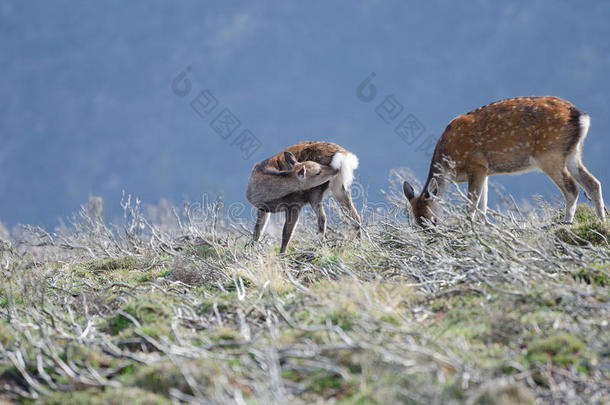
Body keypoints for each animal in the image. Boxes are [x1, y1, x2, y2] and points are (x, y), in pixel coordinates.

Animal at [404, 96, 604, 226]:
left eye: (434, 220)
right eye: (416, 222)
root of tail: (581, 116)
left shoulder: (476, 164)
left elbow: (471, 205)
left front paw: (469, 228)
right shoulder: (485, 171)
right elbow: (482, 206)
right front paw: (485, 227)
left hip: (550, 153)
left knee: (572, 188)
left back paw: (566, 222)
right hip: (573, 152)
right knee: (593, 183)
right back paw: (601, 221)